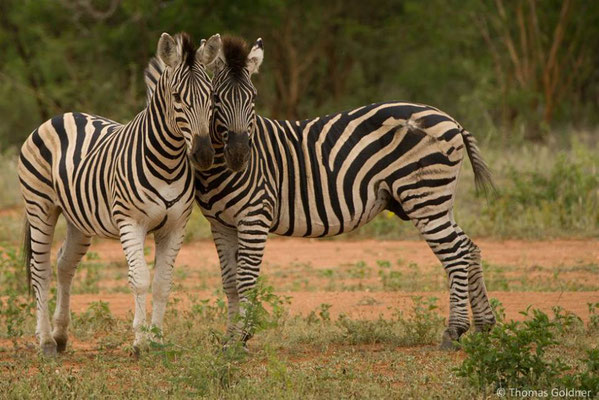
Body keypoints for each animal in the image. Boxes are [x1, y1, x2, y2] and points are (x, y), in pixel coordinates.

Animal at [19, 32, 224, 356]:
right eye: (177, 97)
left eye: (212, 97)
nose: (203, 155)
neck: (168, 159)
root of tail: (62, 115)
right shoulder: (131, 222)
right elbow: (139, 279)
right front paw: (140, 341)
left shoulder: (175, 226)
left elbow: (163, 283)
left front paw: (158, 339)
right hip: (40, 207)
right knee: (40, 270)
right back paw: (46, 341)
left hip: (79, 219)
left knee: (65, 265)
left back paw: (61, 334)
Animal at [148, 37, 500, 350]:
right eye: (216, 99)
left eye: (253, 97)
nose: (240, 155)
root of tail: (450, 119)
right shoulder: (221, 223)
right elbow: (230, 281)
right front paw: (229, 339)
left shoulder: (255, 216)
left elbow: (247, 278)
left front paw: (241, 338)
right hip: (438, 201)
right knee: (470, 249)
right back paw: (484, 326)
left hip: (424, 197)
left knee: (456, 253)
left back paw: (453, 332)